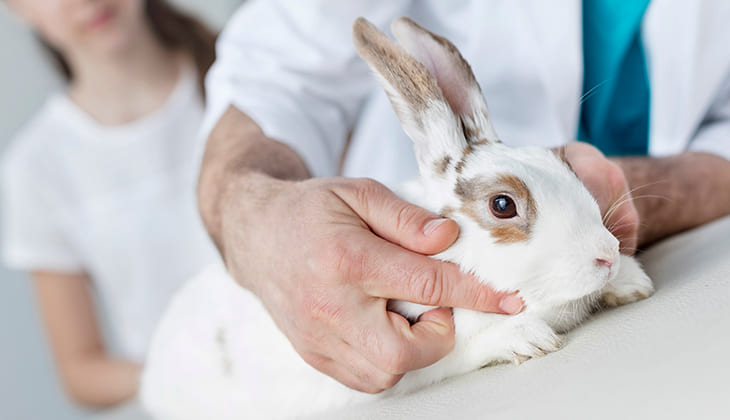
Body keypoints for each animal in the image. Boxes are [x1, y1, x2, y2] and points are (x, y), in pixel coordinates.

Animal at [138, 16, 656, 420]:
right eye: (502, 205)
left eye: (564, 163)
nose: (606, 254)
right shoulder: (414, 361)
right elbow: (459, 351)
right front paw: (528, 340)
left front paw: (632, 283)